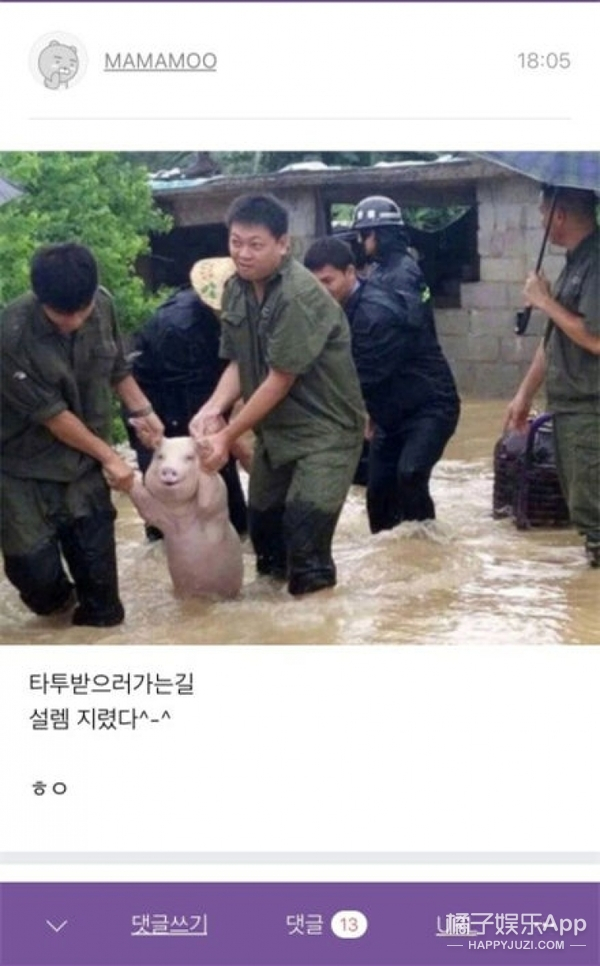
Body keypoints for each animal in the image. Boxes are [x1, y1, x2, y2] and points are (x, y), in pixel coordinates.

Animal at [128, 436, 243, 599]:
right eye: (160, 456)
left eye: (189, 457)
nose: (168, 469)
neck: (181, 516)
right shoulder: (160, 516)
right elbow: (146, 506)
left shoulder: (216, 508)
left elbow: (209, 500)